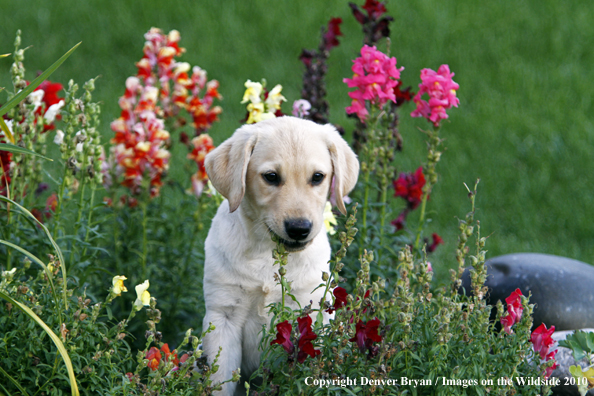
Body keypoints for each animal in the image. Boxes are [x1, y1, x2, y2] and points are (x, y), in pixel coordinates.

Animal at [201, 116, 358, 394]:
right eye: (271, 177)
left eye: (318, 177)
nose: (299, 228)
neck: (267, 252)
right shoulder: (222, 317)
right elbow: (220, 382)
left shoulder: (312, 317)